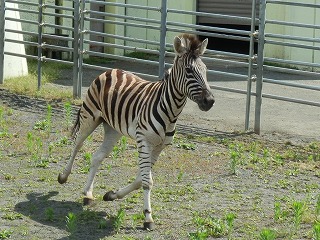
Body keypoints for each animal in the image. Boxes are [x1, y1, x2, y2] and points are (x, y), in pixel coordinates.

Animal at [58, 33, 216, 231]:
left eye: (205, 70)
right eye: (189, 71)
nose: (210, 101)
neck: (170, 111)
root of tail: (111, 70)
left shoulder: (159, 147)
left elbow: (141, 179)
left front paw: (112, 195)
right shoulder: (144, 141)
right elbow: (147, 181)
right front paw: (148, 217)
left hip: (113, 130)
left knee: (97, 156)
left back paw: (88, 194)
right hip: (90, 117)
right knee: (77, 145)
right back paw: (63, 176)